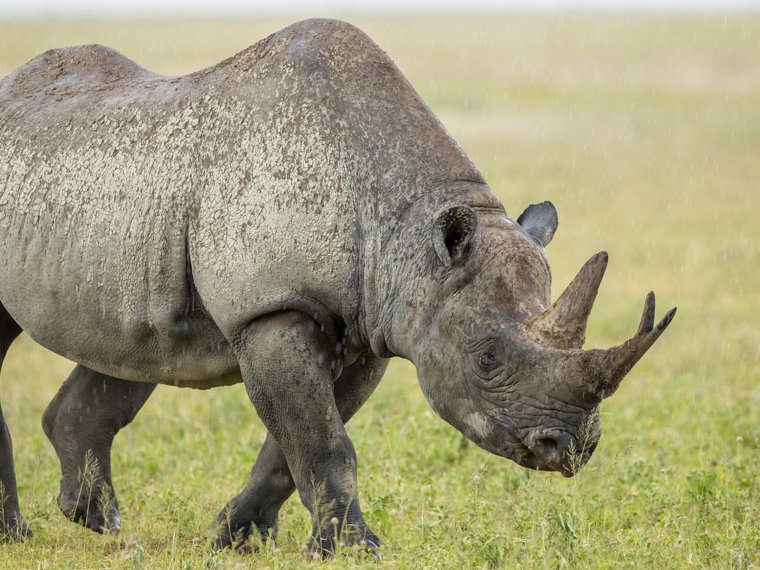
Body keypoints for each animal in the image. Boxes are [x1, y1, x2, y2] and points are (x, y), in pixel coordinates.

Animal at [0, 19, 675, 554]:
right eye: (487, 359)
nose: (572, 449)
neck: (412, 238)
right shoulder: (273, 311)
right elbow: (324, 442)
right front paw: (356, 549)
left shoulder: (370, 324)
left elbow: (294, 444)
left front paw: (238, 539)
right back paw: (19, 536)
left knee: (134, 346)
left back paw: (96, 521)